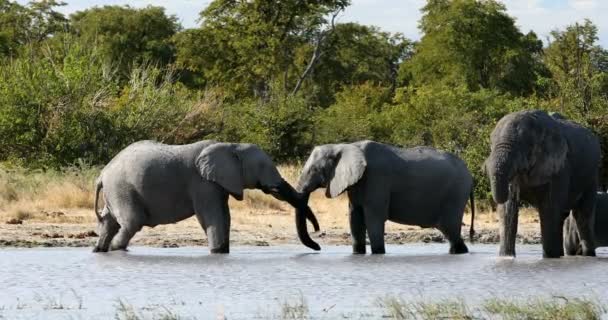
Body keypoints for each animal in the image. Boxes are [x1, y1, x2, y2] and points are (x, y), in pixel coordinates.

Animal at [92, 139, 320, 252]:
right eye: (263, 166)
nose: (317, 244)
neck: (232, 145)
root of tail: (102, 174)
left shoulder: (219, 184)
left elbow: (225, 216)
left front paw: (223, 251)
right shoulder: (203, 183)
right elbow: (212, 217)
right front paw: (217, 252)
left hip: (116, 191)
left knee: (110, 222)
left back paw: (100, 250)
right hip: (122, 188)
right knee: (132, 222)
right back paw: (115, 249)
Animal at [294, 141, 476, 254]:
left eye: (314, 170)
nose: (318, 247)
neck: (346, 146)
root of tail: (470, 175)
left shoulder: (377, 179)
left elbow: (373, 219)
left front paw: (379, 254)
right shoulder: (357, 183)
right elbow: (355, 219)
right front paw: (358, 254)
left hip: (455, 194)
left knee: (450, 230)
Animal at [482, 110, 600, 258]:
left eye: (524, 146)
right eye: (491, 144)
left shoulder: (559, 168)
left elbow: (549, 209)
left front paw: (550, 259)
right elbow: (508, 210)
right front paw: (506, 258)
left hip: (592, 176)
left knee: (582, 216)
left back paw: (587, 255)